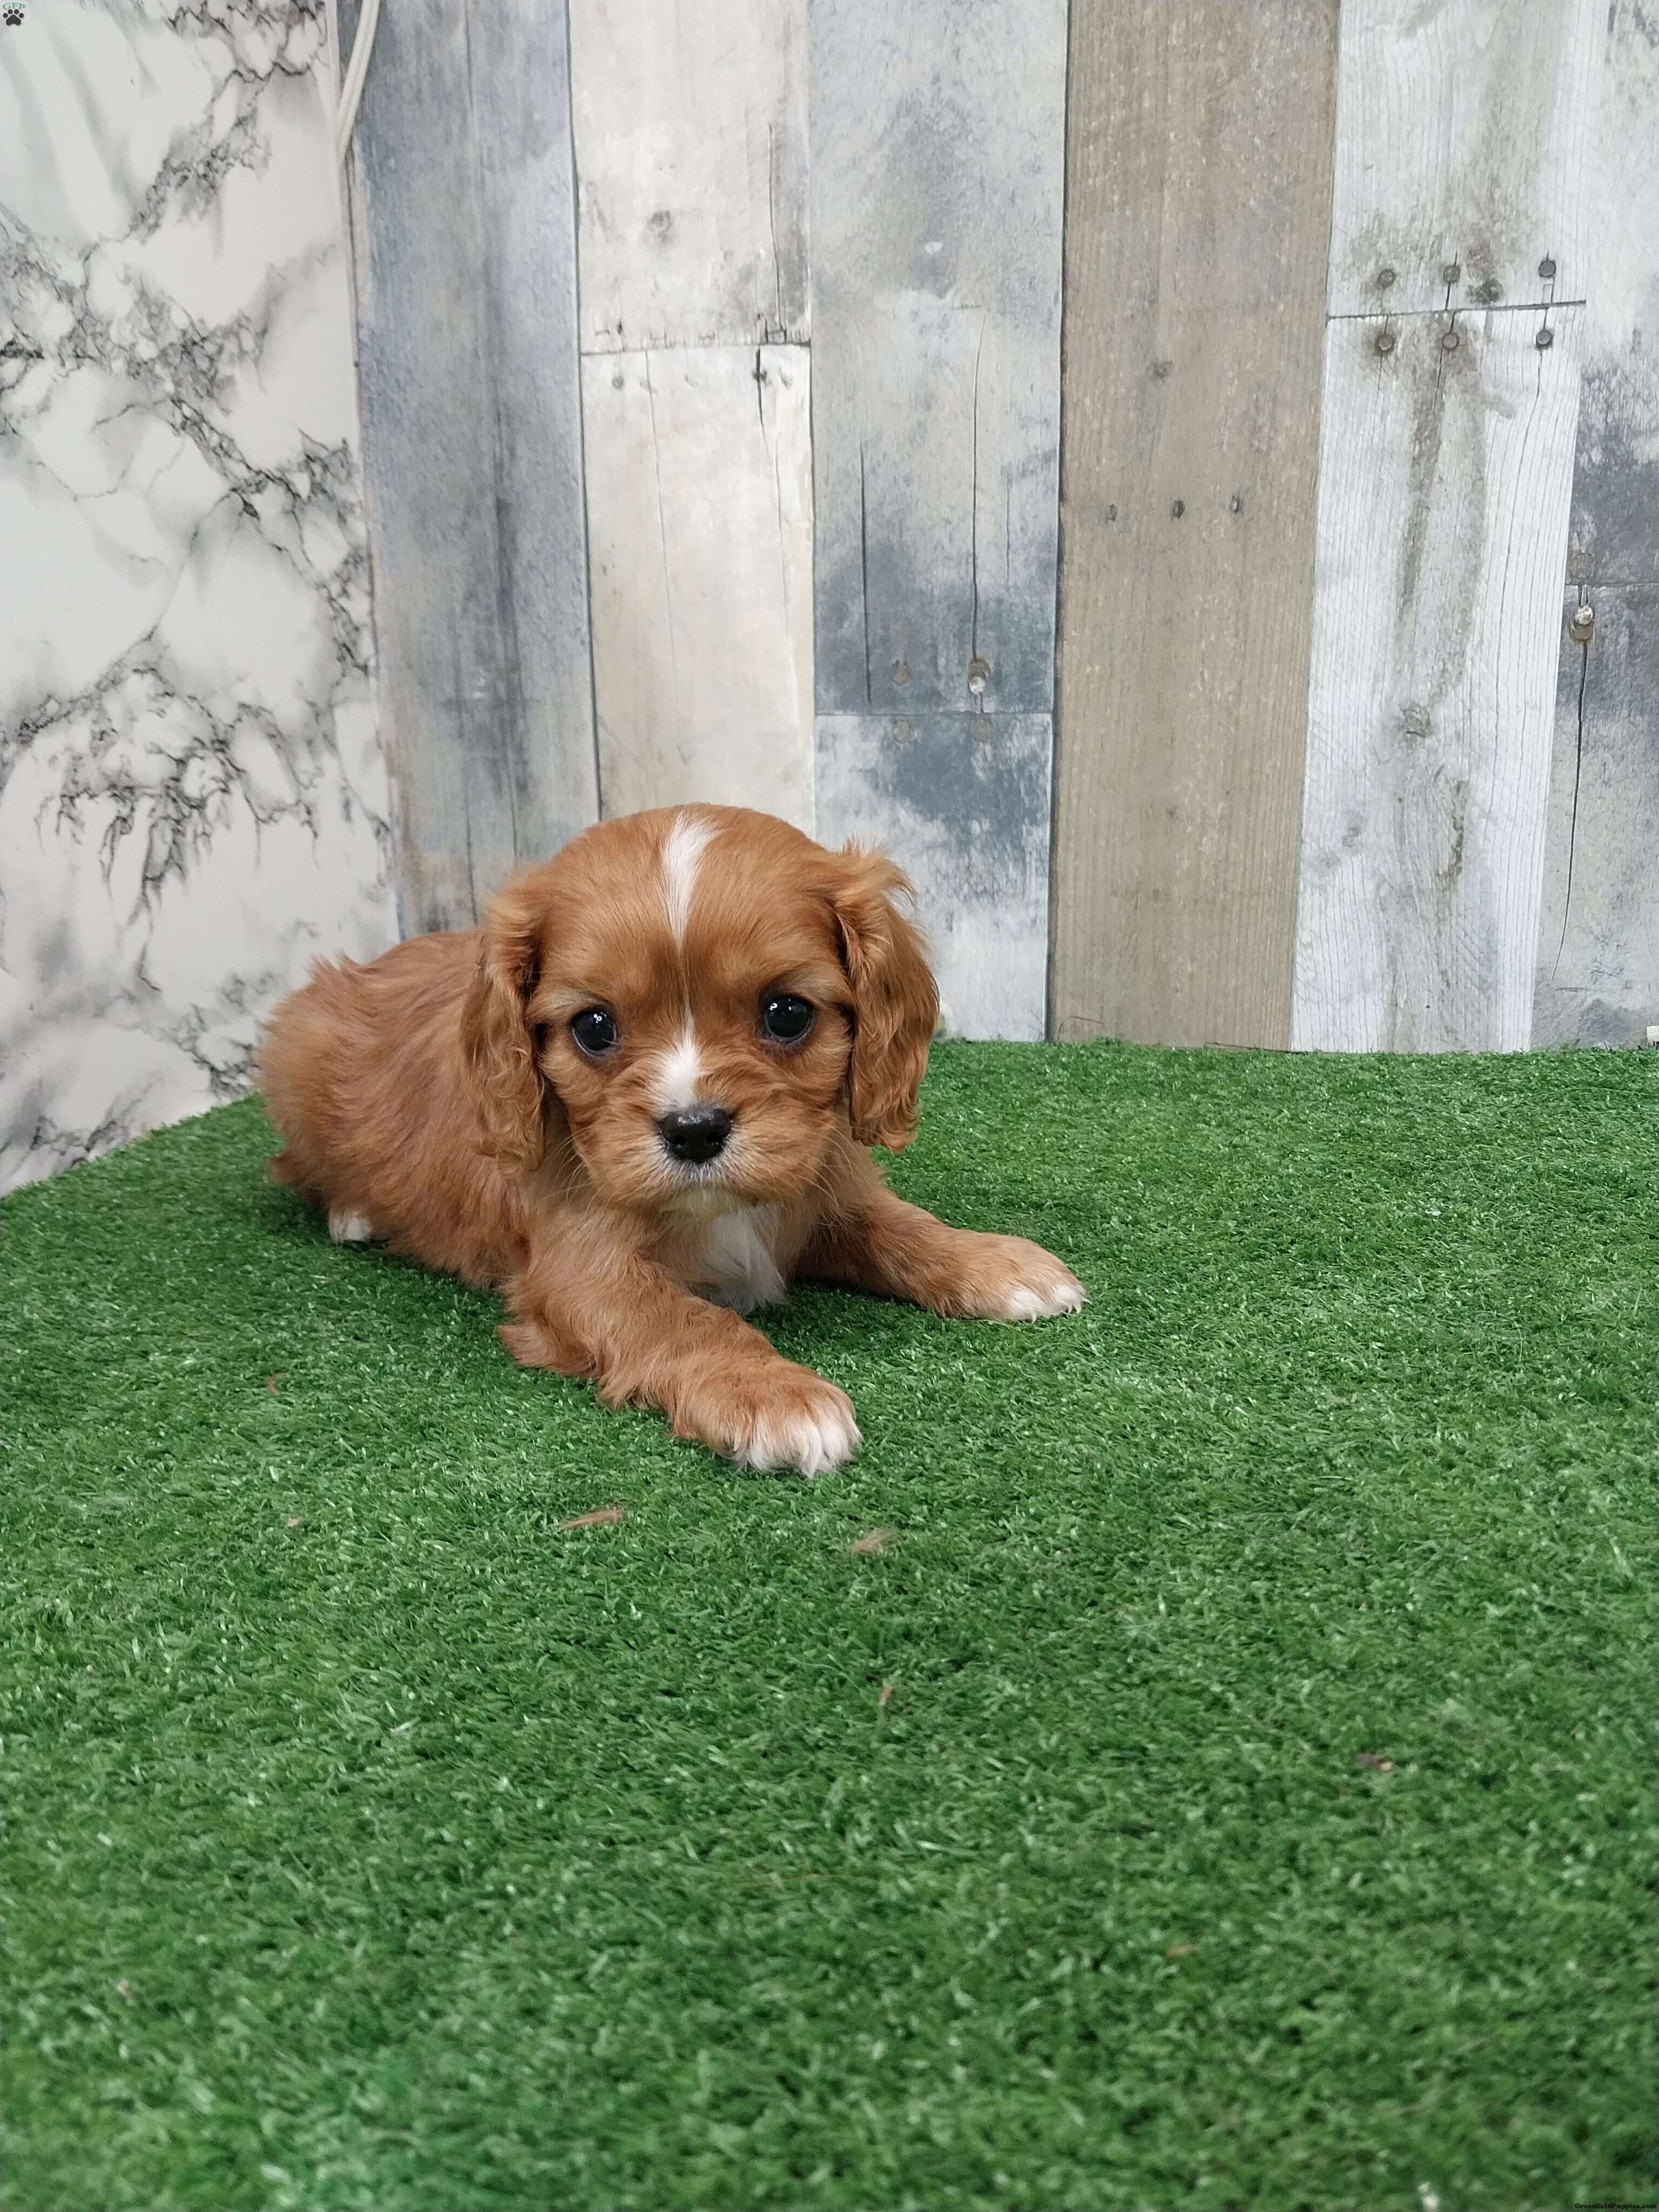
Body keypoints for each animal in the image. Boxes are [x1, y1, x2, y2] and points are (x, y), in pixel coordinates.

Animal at [259, 805, 1085, 1475]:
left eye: (788, 1013)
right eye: (594, 1027)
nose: (695, 1130)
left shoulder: (822, 1187)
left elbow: (898, 1224)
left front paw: (995, 1263)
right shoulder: (582, 1270)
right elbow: (684, 1319)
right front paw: (774, 1395)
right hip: (294, 1049)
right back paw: (354, 1213)